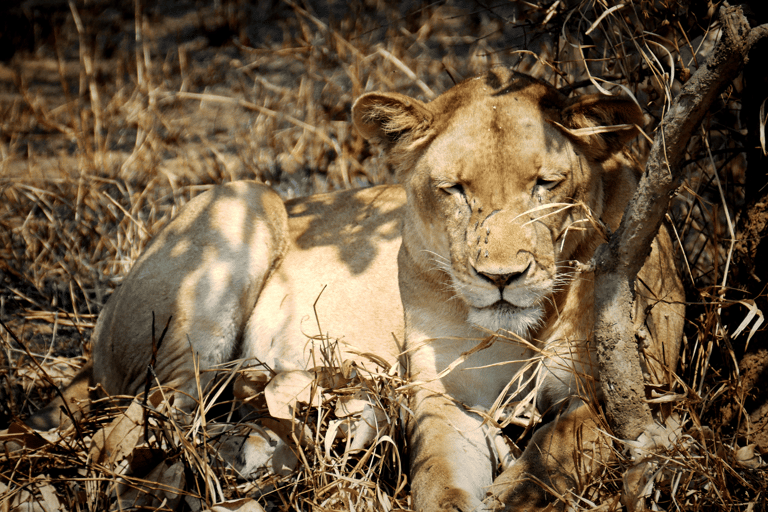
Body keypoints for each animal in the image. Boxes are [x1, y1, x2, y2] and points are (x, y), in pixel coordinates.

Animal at [28, 68, 684, 512]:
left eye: (546, 184)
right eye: (455, 190)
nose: (501, 278)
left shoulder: (627, 397)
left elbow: (558, 448)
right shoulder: (444, 399)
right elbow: (440, 478)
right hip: (242, 202)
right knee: (120, 441)